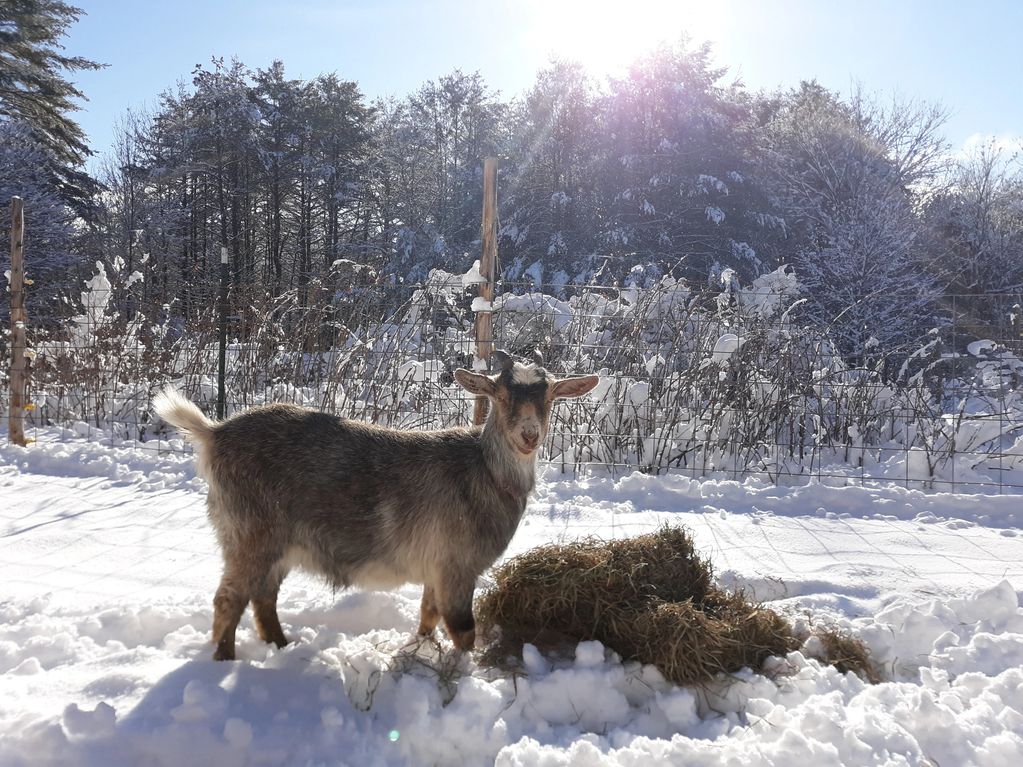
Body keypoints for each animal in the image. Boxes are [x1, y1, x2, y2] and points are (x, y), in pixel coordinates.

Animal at [152, 353, 597, 662]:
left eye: (550, 397)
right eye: (499, 396)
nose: (529, 436)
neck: (482, 471)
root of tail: (214, 434)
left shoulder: (436, 567)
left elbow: (428, 615)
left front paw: (420, 649)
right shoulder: (457, 564)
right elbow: (462, 630)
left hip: (277, 545)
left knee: (263, 598)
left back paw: (281, 646)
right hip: (248, 532)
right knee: (230, 598)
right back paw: (225, 660)